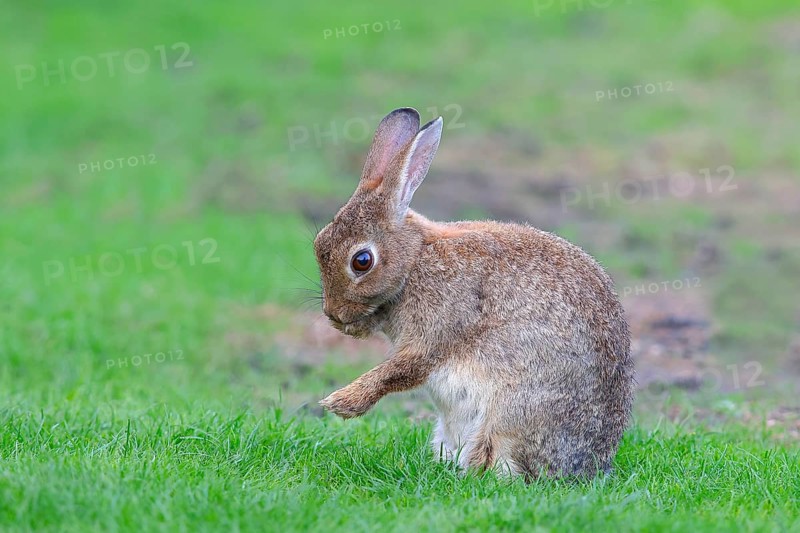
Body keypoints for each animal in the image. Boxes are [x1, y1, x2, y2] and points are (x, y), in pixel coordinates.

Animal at [316, 107, 634, 478]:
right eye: (319, 243)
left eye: (362, 261)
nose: (334, 315)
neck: (415, 259)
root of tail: (590, 464)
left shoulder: (439, 325)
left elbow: (403, 368)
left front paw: (341, 403)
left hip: (509, 415)